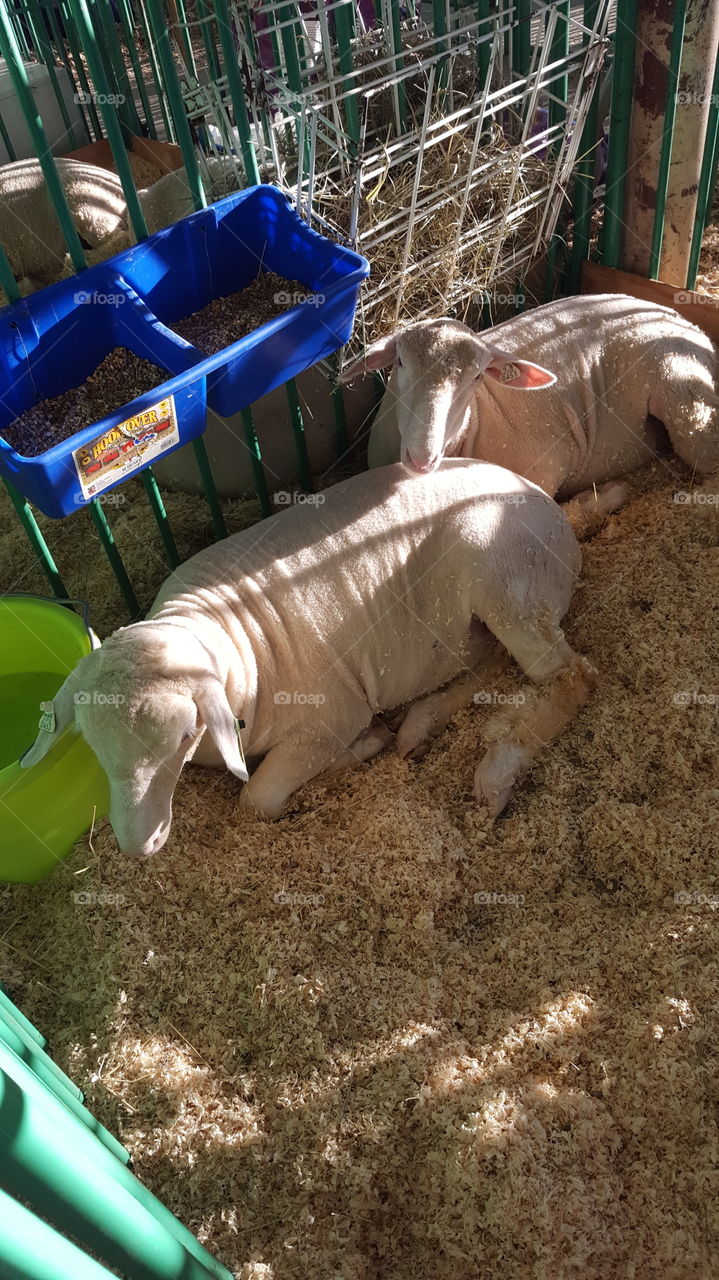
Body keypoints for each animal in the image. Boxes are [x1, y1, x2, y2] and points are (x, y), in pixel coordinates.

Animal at [21, 459, 595, 858]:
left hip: (508, 580)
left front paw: (361, 747)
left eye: (184, 735)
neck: (232, 645)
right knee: (492, 662)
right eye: (90, 743)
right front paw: (375, 741)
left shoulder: (328, 718)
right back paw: (421, 725)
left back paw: (496, 772)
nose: (140, 847)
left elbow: (256, 800)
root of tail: (549, 503)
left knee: (572, 675)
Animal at [342, 294, 719, 537]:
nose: (422, 458)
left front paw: (605, 497)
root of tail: (675, 314)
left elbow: (566, 518)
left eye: (476, 377)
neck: (477, 421)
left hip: (682, 390)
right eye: (400, 361)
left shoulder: (542, 470)